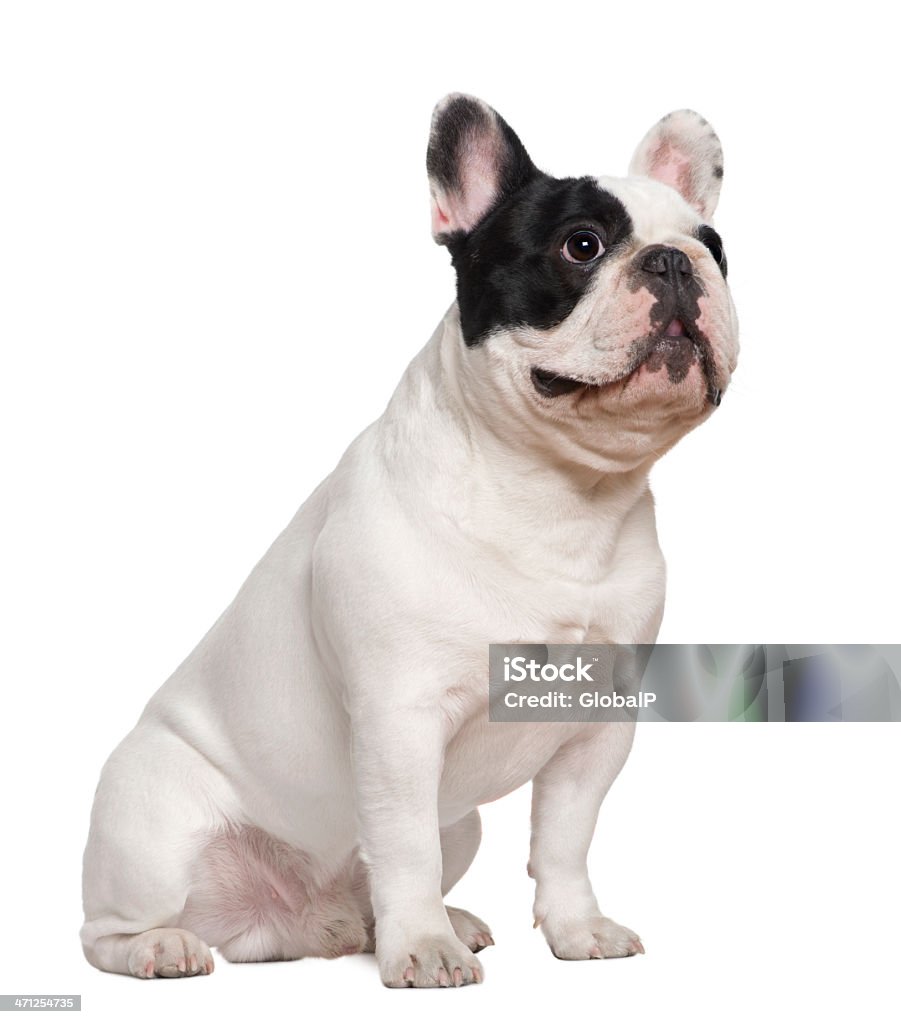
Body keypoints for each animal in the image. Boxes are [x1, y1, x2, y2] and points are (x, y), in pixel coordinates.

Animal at [79, 94, 737, 983]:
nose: (673, 262)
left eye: (715, 249)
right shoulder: (399, 720)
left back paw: (421, 922)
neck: (558, 495)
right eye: (582, 244)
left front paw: (574, 931)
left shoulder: (595, 731)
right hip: (151, 823)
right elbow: (403, 844)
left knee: (374, 892)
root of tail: (285, 923)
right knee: (108, 929)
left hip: (462, 824)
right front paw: (421, 949)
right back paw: (164, 946)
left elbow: (565, 841)